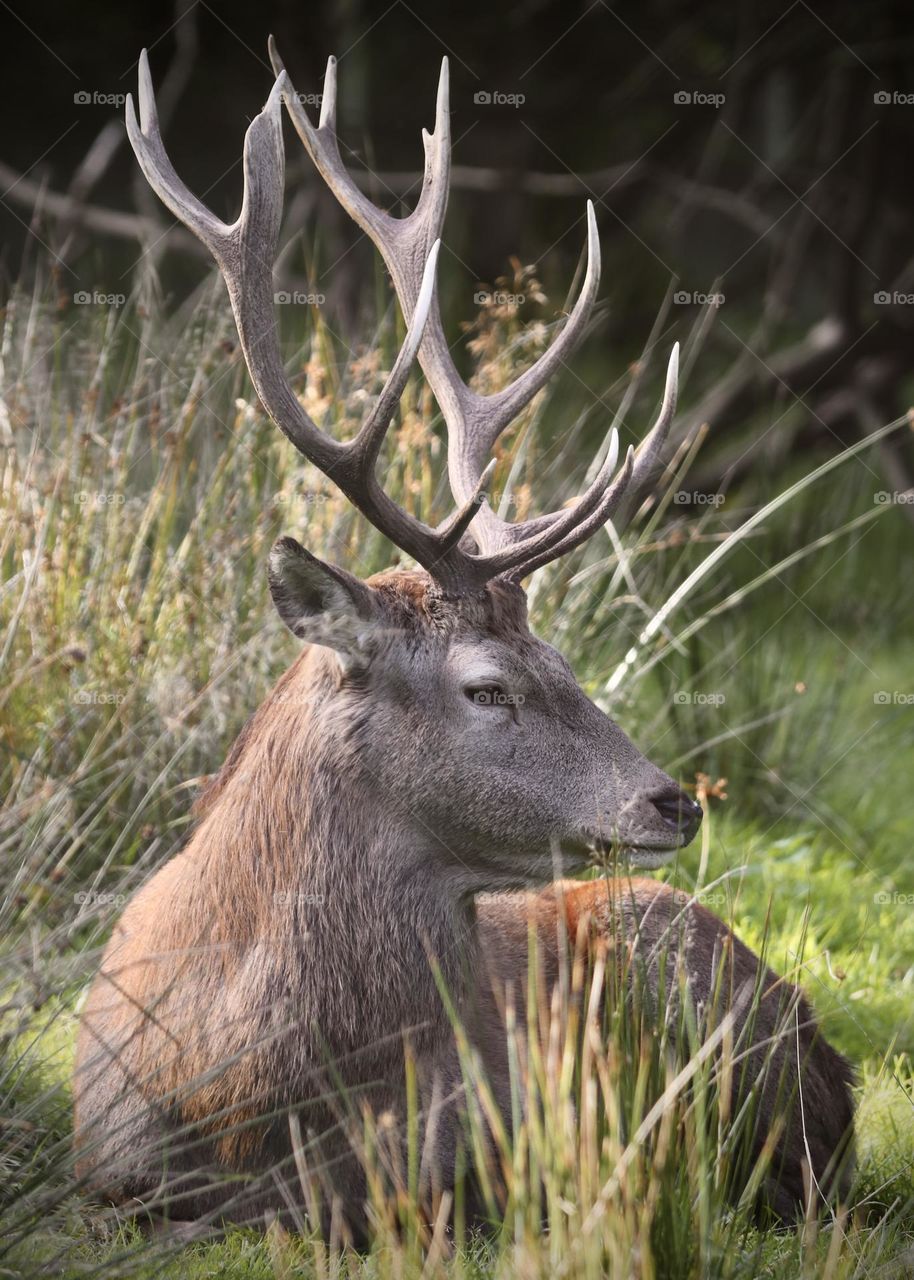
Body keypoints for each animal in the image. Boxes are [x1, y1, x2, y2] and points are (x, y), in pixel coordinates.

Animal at [73, 44, 854, 1241]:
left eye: (567, 664)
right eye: (487, 687)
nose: (671, 802)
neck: (239, 1097)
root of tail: (840, 1059)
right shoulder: (101, 1164)